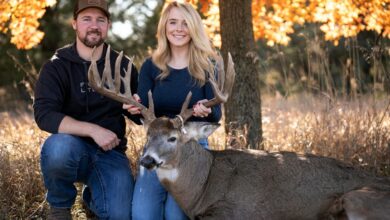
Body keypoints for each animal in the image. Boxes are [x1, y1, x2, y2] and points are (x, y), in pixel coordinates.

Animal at [87, 45, 390, 219]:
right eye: (148, 136)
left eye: (173, 138)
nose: (147, 160)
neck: (202, 187)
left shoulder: (238, 210)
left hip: (359, 199)